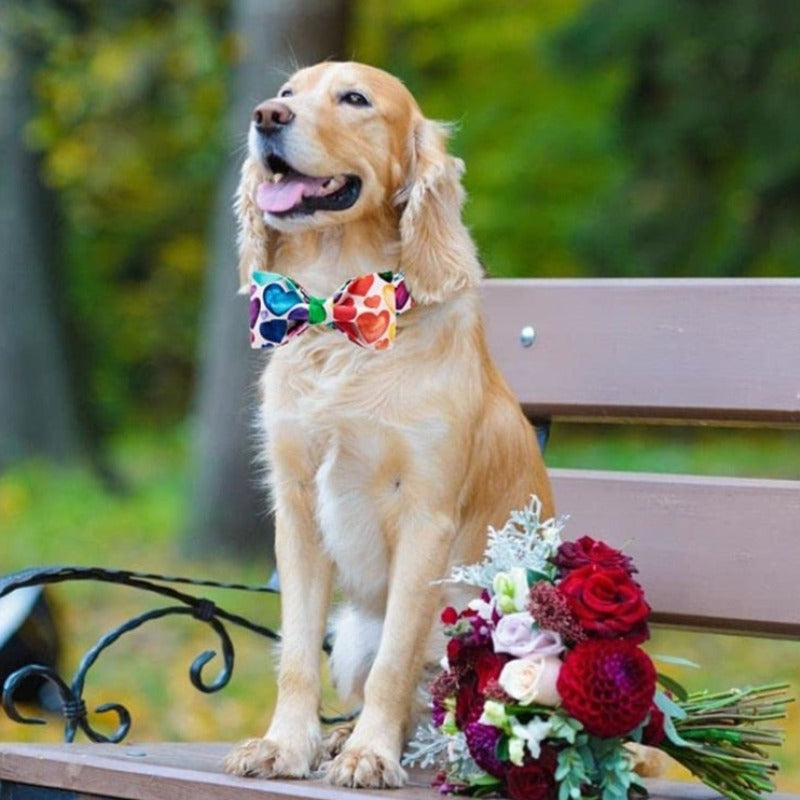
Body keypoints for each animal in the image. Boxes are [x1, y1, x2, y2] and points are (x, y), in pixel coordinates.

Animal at [222, 61, 552, 788]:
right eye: (287, 94)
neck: (335, 315)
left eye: (355, 99)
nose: (266, 117)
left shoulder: (426, 514)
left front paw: (369, 754)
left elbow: (395, 666)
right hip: (352, 632)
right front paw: (287, 745)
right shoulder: (296, 508)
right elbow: (295, 655)